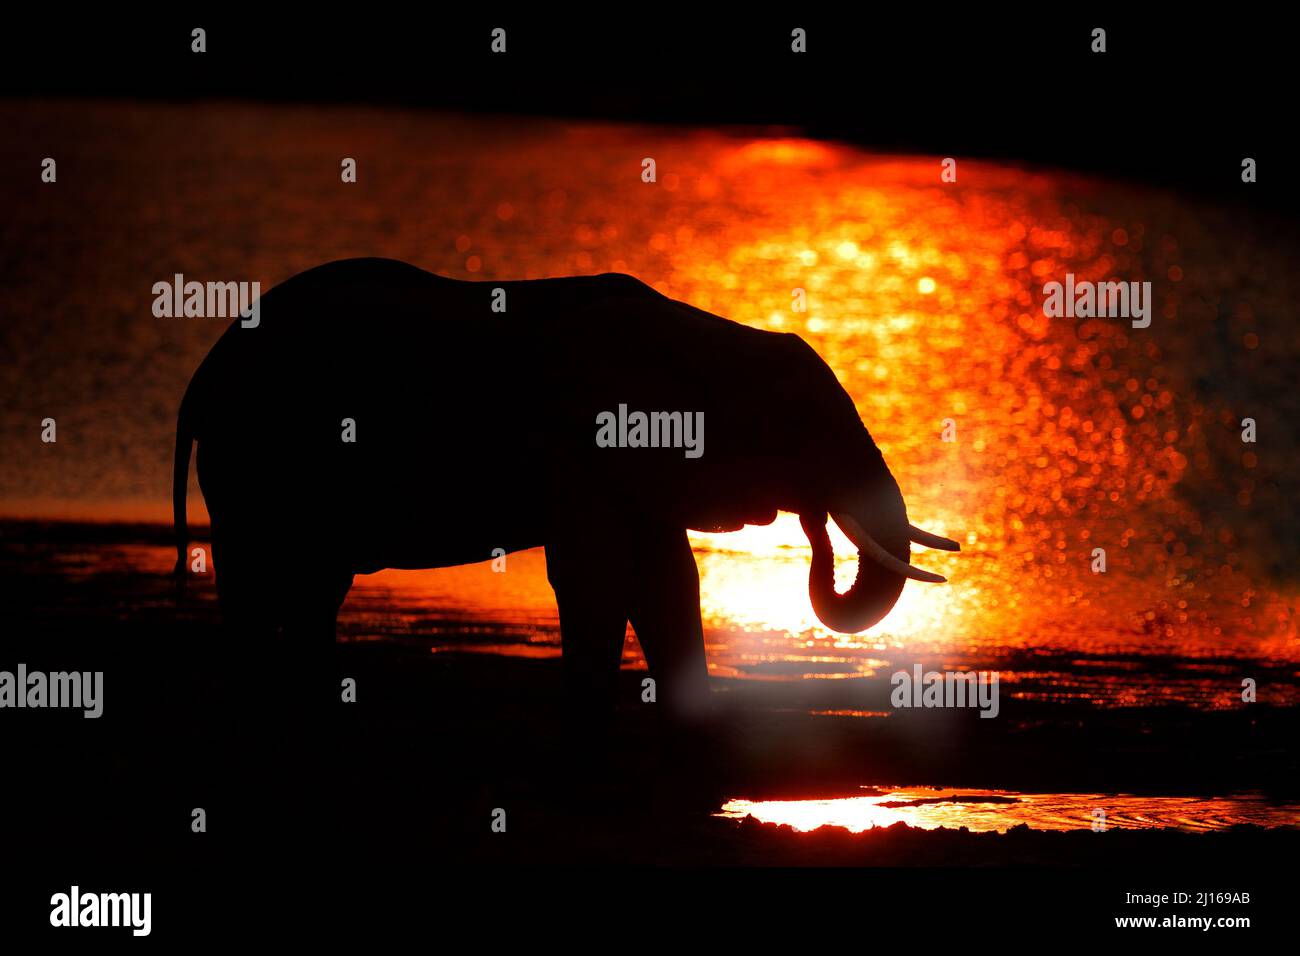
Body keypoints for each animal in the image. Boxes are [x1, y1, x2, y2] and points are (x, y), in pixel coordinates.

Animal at [172, 257, 956, 723]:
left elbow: (667, 578)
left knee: (313, 588)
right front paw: (591, 723)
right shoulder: (586, 445)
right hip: (254, 459)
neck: (709, 338)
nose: (818, 526)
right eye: (800, 426)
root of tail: (202, 376)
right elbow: (598, 576)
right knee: (262, 583)